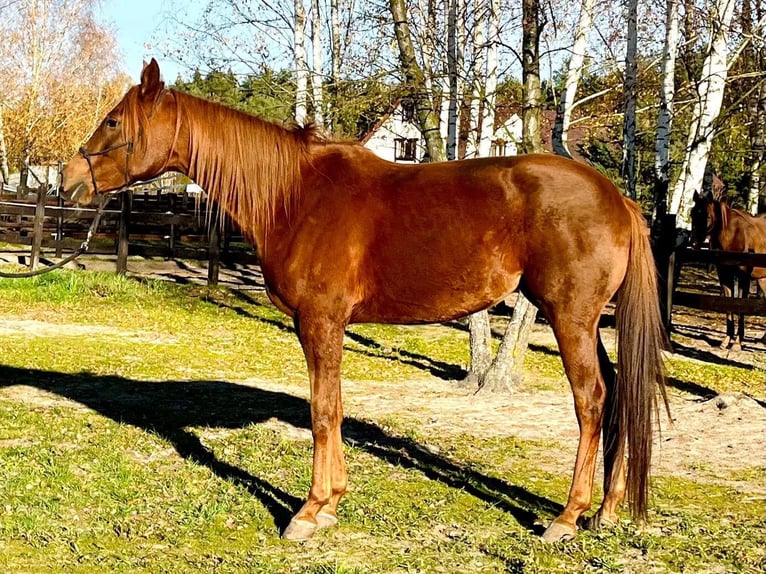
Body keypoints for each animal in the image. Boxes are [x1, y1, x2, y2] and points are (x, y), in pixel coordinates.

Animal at [63, 60, 668, 548]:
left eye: (113, 122)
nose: (69, 179)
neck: (293, 195)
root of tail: (618, 198)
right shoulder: (324, 325)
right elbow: (332, 405)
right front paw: (330, 504)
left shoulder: (320, 322)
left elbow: (322, 410)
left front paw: (309, 512)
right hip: (586, 322)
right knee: (617, 393)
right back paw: (606, 511)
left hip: (569, 318)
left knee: (591, 401)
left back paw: (567, 518)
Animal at [688, 192, 766, 352]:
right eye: (692, 213)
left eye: (707, 216)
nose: (694, 244)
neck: (732, 235)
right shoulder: (724, 275)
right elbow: (729, 305)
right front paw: (726, 340)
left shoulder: (743, 277)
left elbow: (741, 306)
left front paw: (737, 344)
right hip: (762, 279)